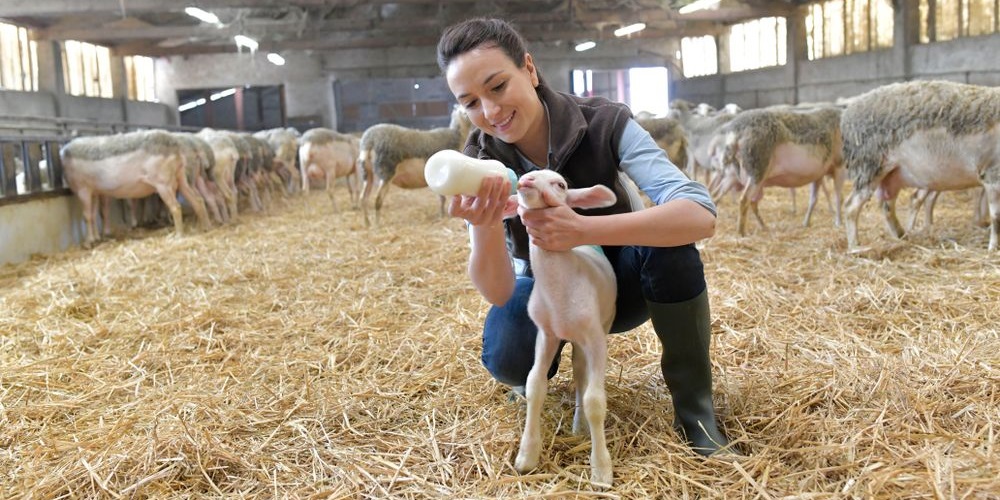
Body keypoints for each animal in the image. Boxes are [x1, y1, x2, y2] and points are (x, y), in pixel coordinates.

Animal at [504, 170, 620, 486]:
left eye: (561, 184)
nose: (527, 180)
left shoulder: (596, 339)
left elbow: (595, 400)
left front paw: (601, 469)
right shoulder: (546, 334)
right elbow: (534, 385)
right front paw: (527, 456)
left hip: (595, 329)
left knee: (583, 378)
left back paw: (581, 426)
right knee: (579, 373)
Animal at [712, 104, 844, 236]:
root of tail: (734, 134)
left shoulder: (818, 174)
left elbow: (813, 200)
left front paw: (806, 223)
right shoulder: (839, 165)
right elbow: (838, 197)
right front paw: (839, 223)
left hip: (734, 174)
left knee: (718, 195)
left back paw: (763, 227)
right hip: (757, 169)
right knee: (744, 200)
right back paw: (742, 233)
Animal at [844, 82, 1000, 254]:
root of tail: (849, 112)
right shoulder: (992, 174)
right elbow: (996, 217)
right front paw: (993, 249)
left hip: (892, 174)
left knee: (888, 205)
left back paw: (902, 236)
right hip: (868, 166)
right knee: (851, 206)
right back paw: (855, 247)